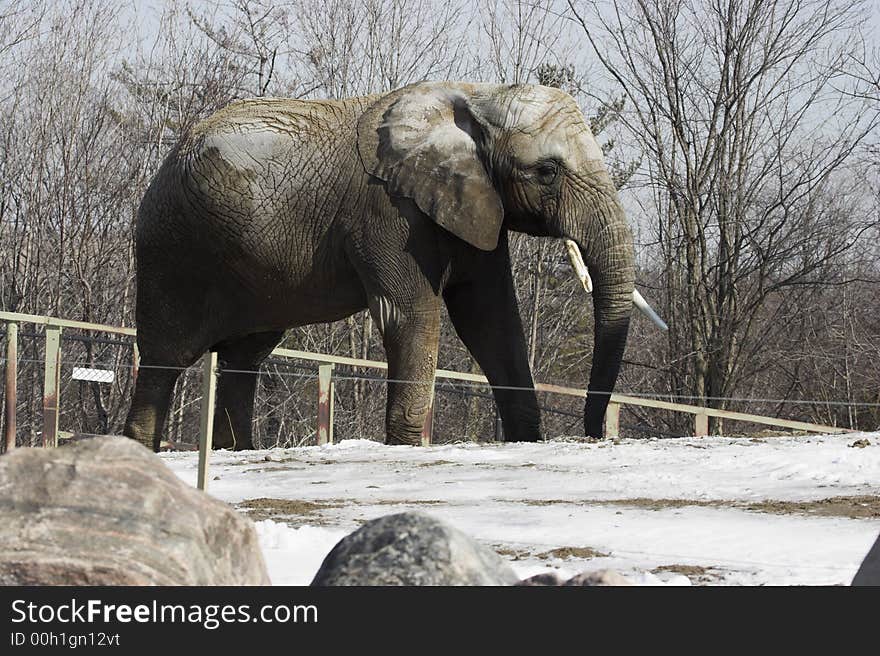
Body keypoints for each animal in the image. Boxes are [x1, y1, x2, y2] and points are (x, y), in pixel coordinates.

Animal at [122, 80, 660, 452]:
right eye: (547, 172)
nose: (594, 434)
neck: (477, 96)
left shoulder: (471, 203)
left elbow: (491, 316)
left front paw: (526, 439)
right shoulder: (388, 211)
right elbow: (412, 313)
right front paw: (404, 446)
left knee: (245, 356)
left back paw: (238, 451)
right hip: (171, 248)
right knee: (165, 356)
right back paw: (140, 450)